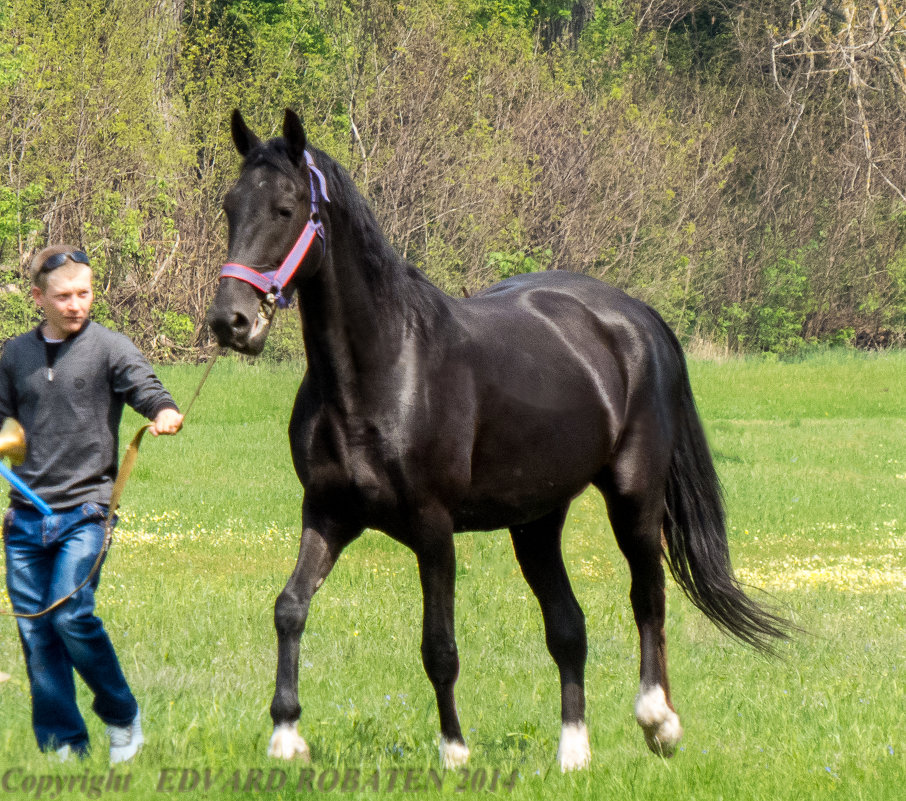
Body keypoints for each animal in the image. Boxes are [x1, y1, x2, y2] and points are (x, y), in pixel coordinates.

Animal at [207, 108, 784, 768]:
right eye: (230, 206)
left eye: (285, 209)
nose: (229, 321)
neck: (383, 369)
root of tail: (637, 317)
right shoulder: (327, 513)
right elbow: (290, 609)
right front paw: (285, 734)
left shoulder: (432, 527)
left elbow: (439, 646)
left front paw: (454, 750)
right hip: (536, 521)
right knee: (568, 627)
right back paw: (573, 752)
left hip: (634, 499)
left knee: (648, 596)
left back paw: (658, 721)